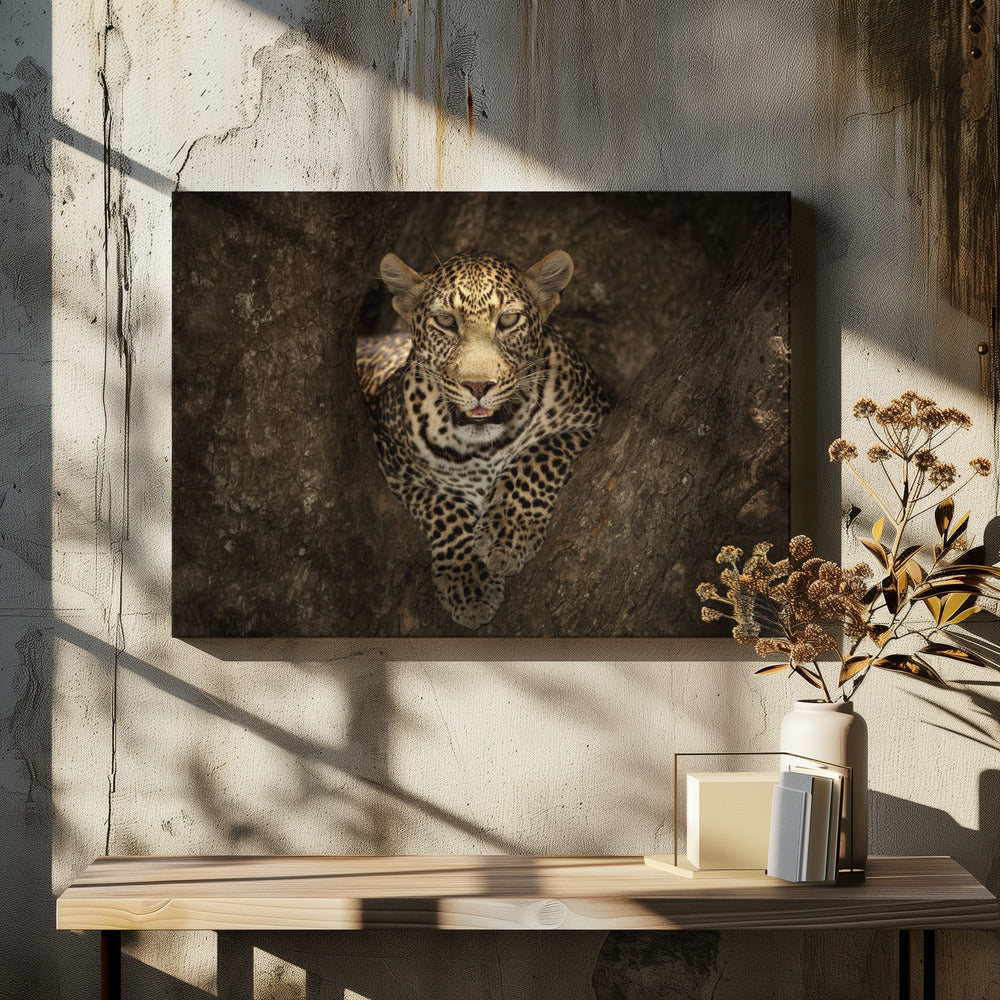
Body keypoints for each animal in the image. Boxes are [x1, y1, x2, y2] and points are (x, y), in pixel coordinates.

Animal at [356, 248, 610, 629]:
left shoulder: (594, 419)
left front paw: (508, 532)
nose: (478, 386)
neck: (484, 449)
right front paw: (468, 581)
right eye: (446, 321)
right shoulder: (392, 464)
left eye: (508, 320)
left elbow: (539, 453)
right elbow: (441, 504)